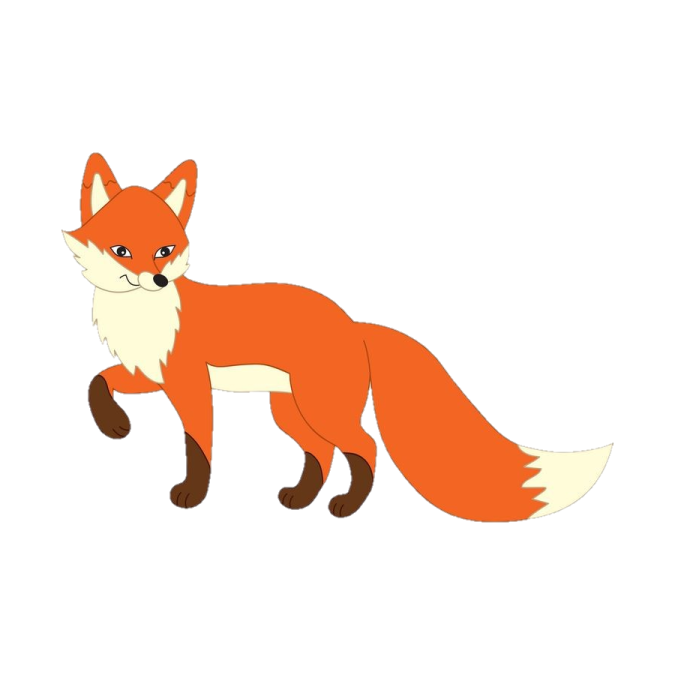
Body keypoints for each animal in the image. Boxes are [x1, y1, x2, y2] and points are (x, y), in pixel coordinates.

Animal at [63, 153, 612, 520]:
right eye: (121, 250)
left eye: (165, 250)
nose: (157, 280)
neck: (141, 317)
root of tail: (352, 322)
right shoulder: (151, 375)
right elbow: (97, 381)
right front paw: (115, 426)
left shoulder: (189, 385)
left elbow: (199, 448)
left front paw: (191, 496)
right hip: (290, 410)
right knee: (322, 455)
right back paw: (302, 499)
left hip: (319, 407)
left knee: (363, 448)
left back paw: (346, 506)